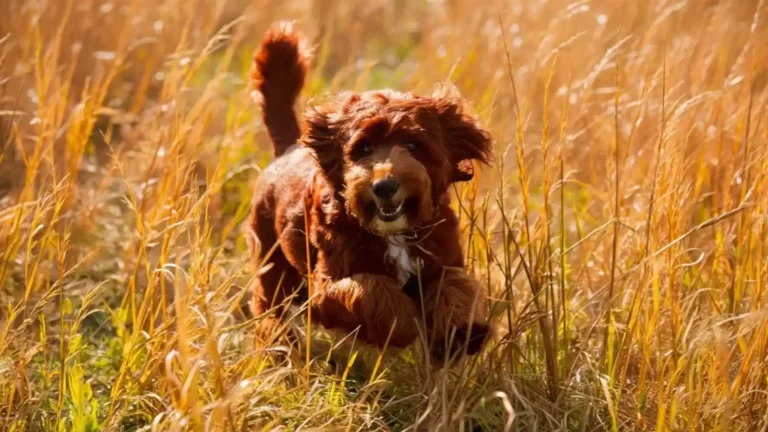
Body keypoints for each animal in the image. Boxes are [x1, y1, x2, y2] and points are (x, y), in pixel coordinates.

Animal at [246, 22, 496, 362]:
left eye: (414, 145)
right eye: (363, 148)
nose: (384, 186)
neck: (395, 234)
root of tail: (288, 149)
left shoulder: (443, 258)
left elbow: (458, 286)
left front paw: (461, 335)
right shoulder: (326, 284)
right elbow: (370, 289)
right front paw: (403, 324)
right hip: (272, 261)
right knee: (270, 306)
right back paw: (277, 349)